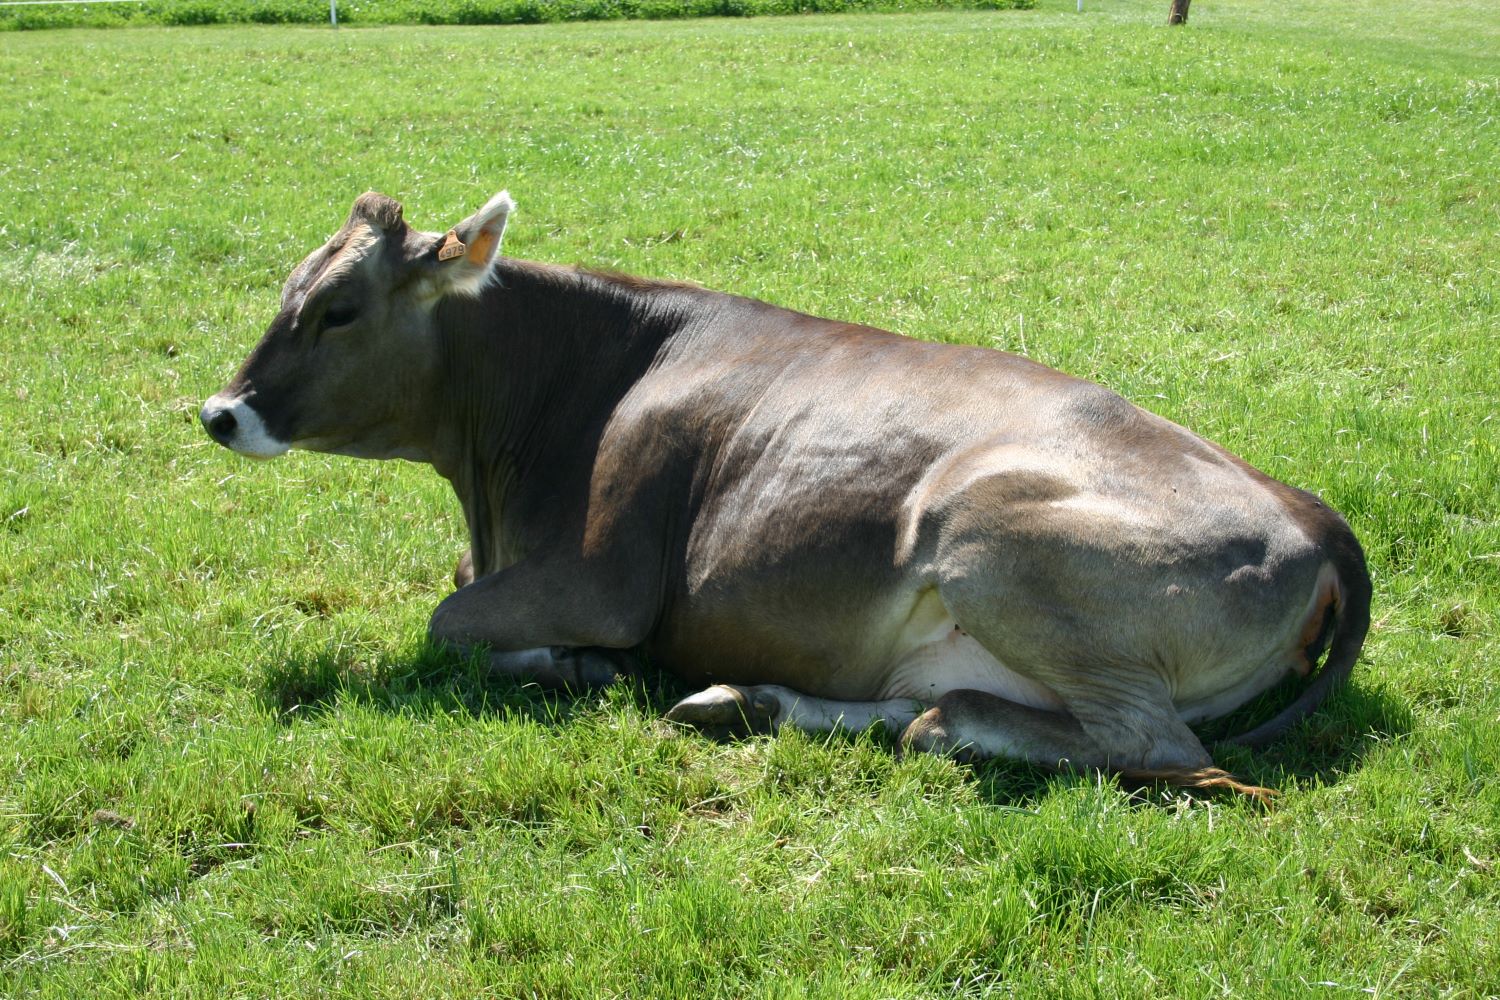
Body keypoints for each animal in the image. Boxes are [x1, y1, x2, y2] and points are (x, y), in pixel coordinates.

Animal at [202, 187, 1374, 797]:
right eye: (288, 289)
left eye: (340, 309)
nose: (221, 411)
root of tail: (1308, 511)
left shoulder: (600, 578)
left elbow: (450, 621)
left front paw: (577, 666)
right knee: (912, 700)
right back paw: (748, 699)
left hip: (986, 532)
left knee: (1146, 745)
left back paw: (923, 722)